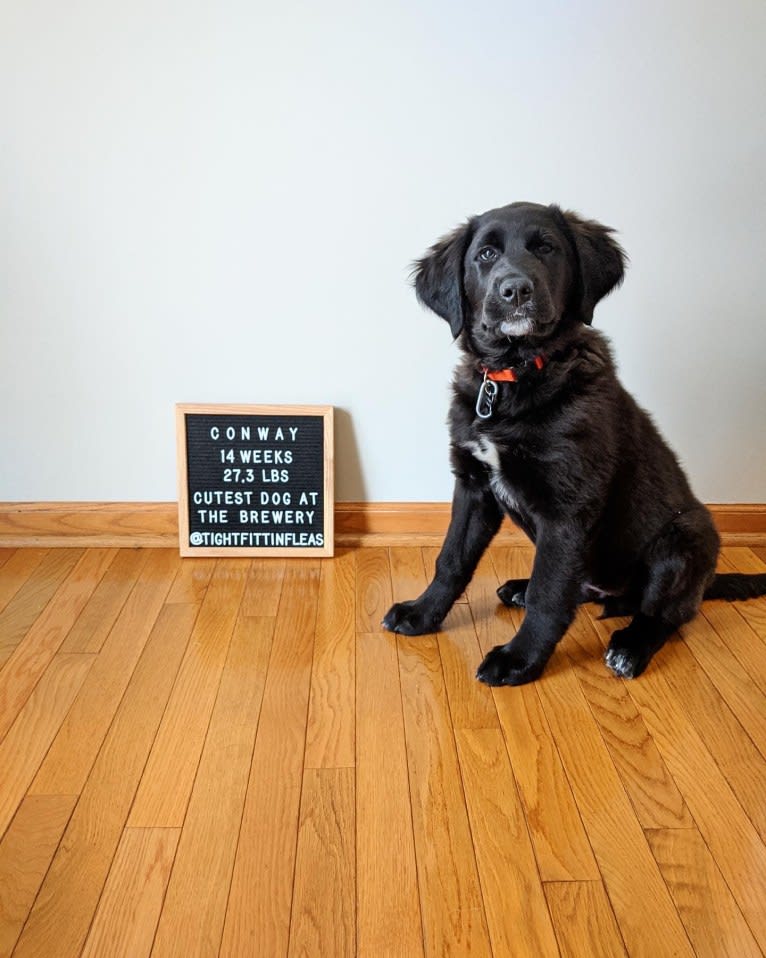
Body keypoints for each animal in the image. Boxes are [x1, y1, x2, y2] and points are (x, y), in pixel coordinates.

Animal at [384, 201, 766, 684]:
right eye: (485, 255)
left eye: (546, 248)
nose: (515, 290)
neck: (516, 374)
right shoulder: (473, 485)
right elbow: (452, 559)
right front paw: (422, 613)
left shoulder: (567, 509)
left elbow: (550, 595)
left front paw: (519, 660)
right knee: (583, 587)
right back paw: (521, 588)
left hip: (685, 538)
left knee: (663, 614)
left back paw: (629, 647)